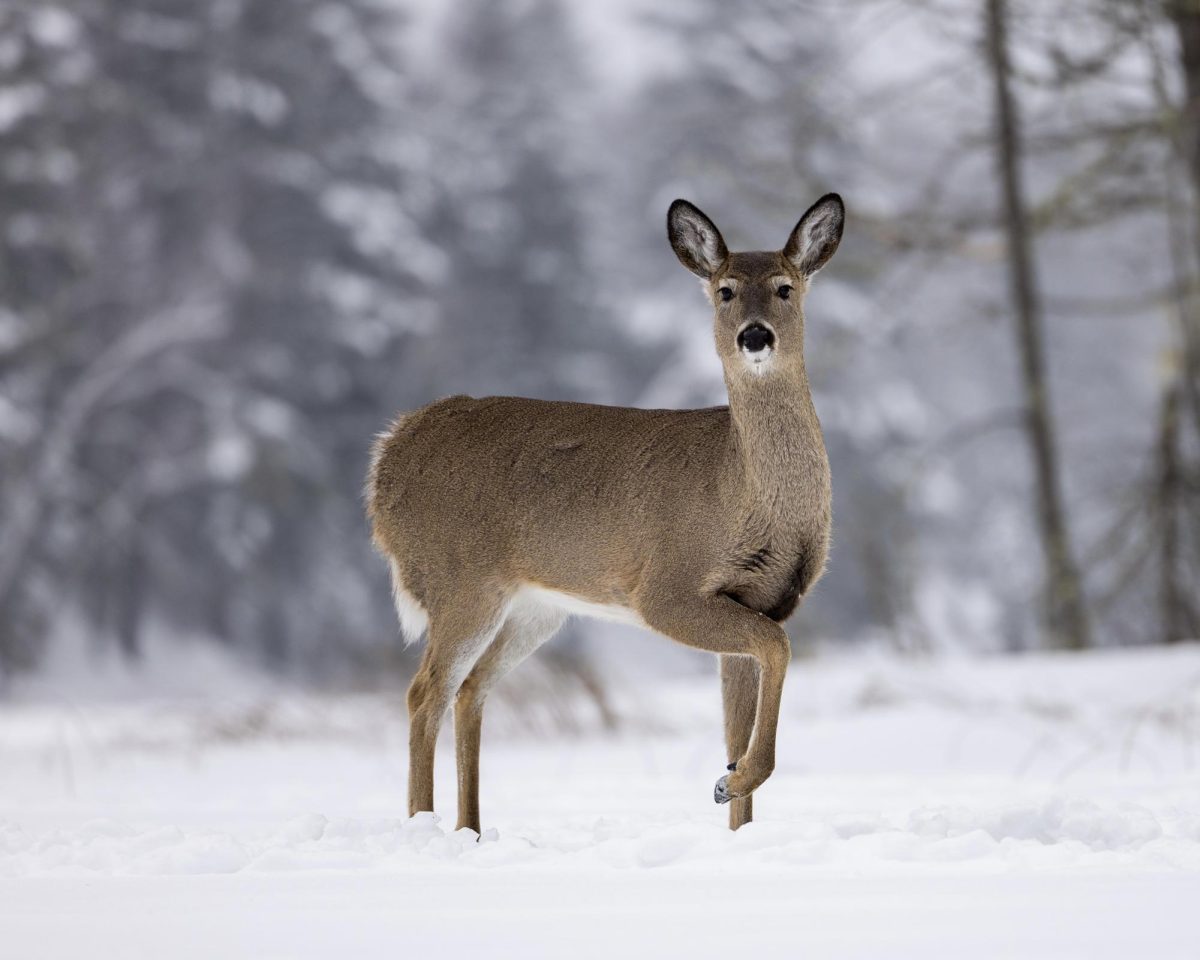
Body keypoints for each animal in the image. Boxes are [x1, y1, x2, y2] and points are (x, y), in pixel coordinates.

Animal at [364, 193, 844, 830]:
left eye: (786, 287)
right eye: (725, 290)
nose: (755, 335)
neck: (744, 490)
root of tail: (389, 454)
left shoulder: (760, 600)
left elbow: (738, 718)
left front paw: (735, 807)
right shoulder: (667, 588)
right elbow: (777, 650)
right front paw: (734, 778)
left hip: (533, 607)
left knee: (471, 690)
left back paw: (472, 830)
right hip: (460, 579)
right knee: (425, 693)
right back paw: (425, 827)